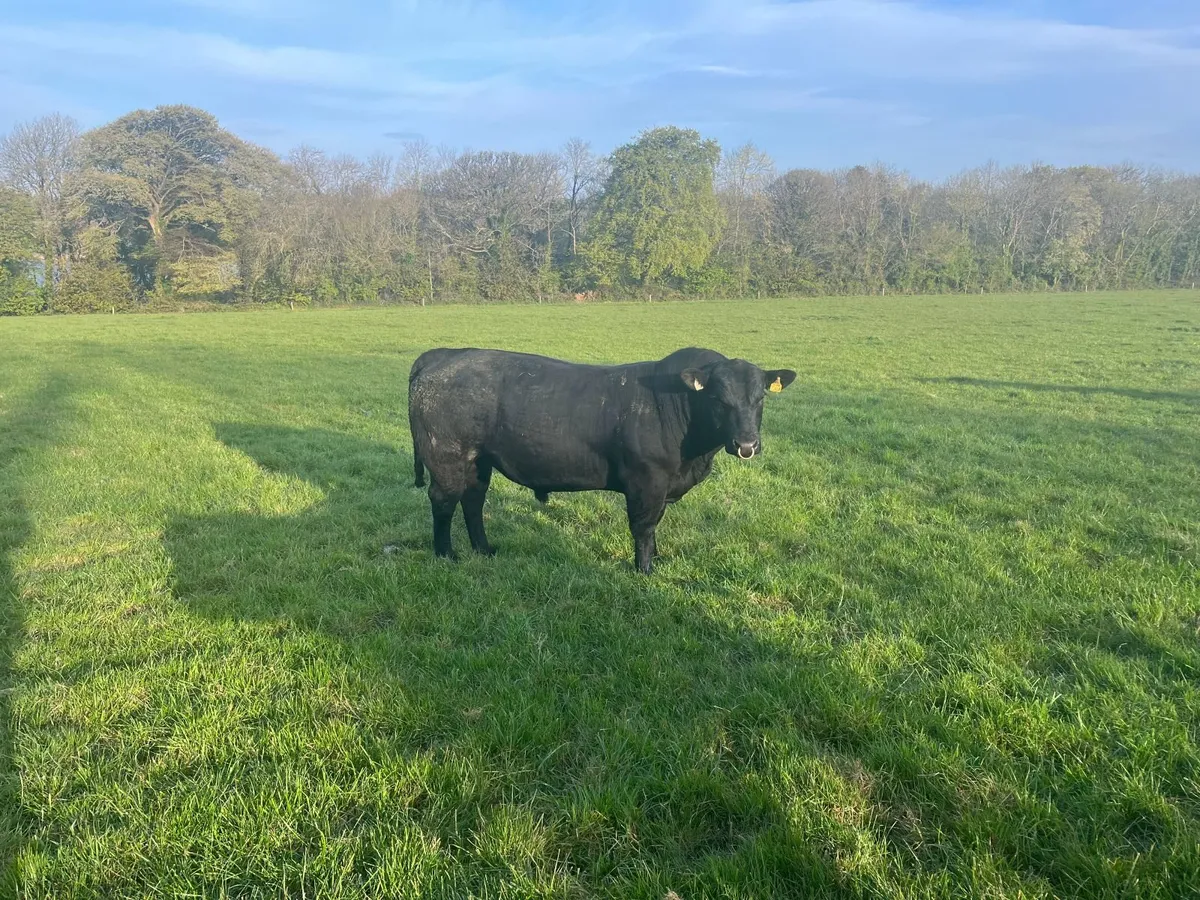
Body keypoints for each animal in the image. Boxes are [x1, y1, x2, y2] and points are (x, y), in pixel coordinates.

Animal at [408, 346, 796, 574]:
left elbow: (655, 524)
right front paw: (644, 570)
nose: (747, 444)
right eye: (718, 398)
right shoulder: (646, 481)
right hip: (447, 457)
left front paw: (657, 558)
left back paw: (484, 549)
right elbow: (643, 526)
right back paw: (446, 554)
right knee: (443, 501)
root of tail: (445, 355)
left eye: (760, 398)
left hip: (479, 460)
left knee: (473, 500)